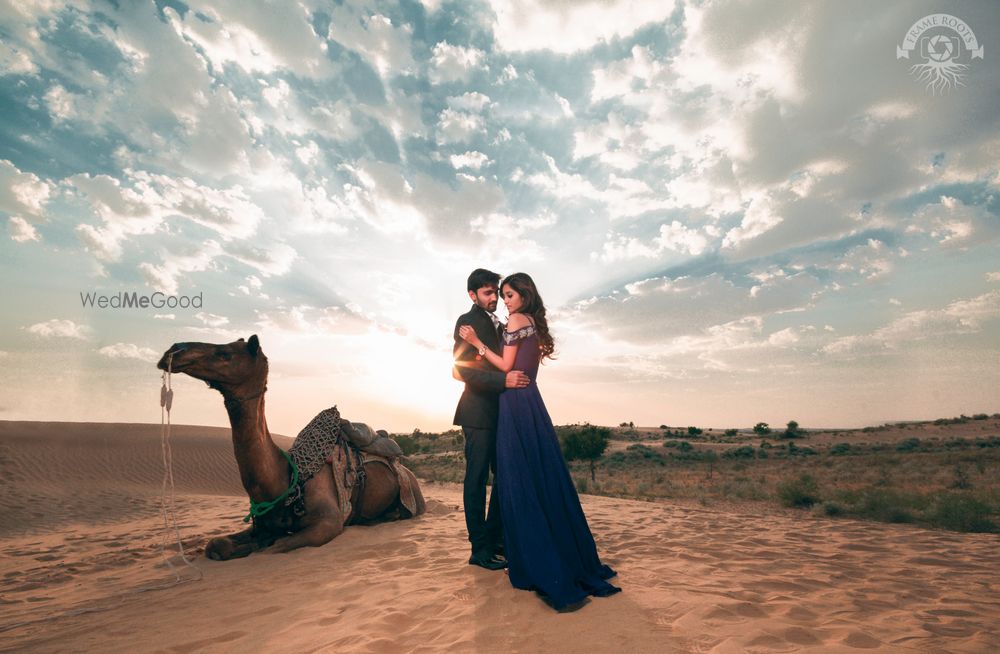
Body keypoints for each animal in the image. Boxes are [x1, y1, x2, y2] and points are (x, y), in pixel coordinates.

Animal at [156, 336, 426, 560]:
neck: (286, 479)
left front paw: (257, 547)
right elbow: (216, 544)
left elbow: (273, 549)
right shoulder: (261, 524)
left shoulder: (329, 522)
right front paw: (244, 546)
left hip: (414, 496)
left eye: (225, 353)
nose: (174, 350)